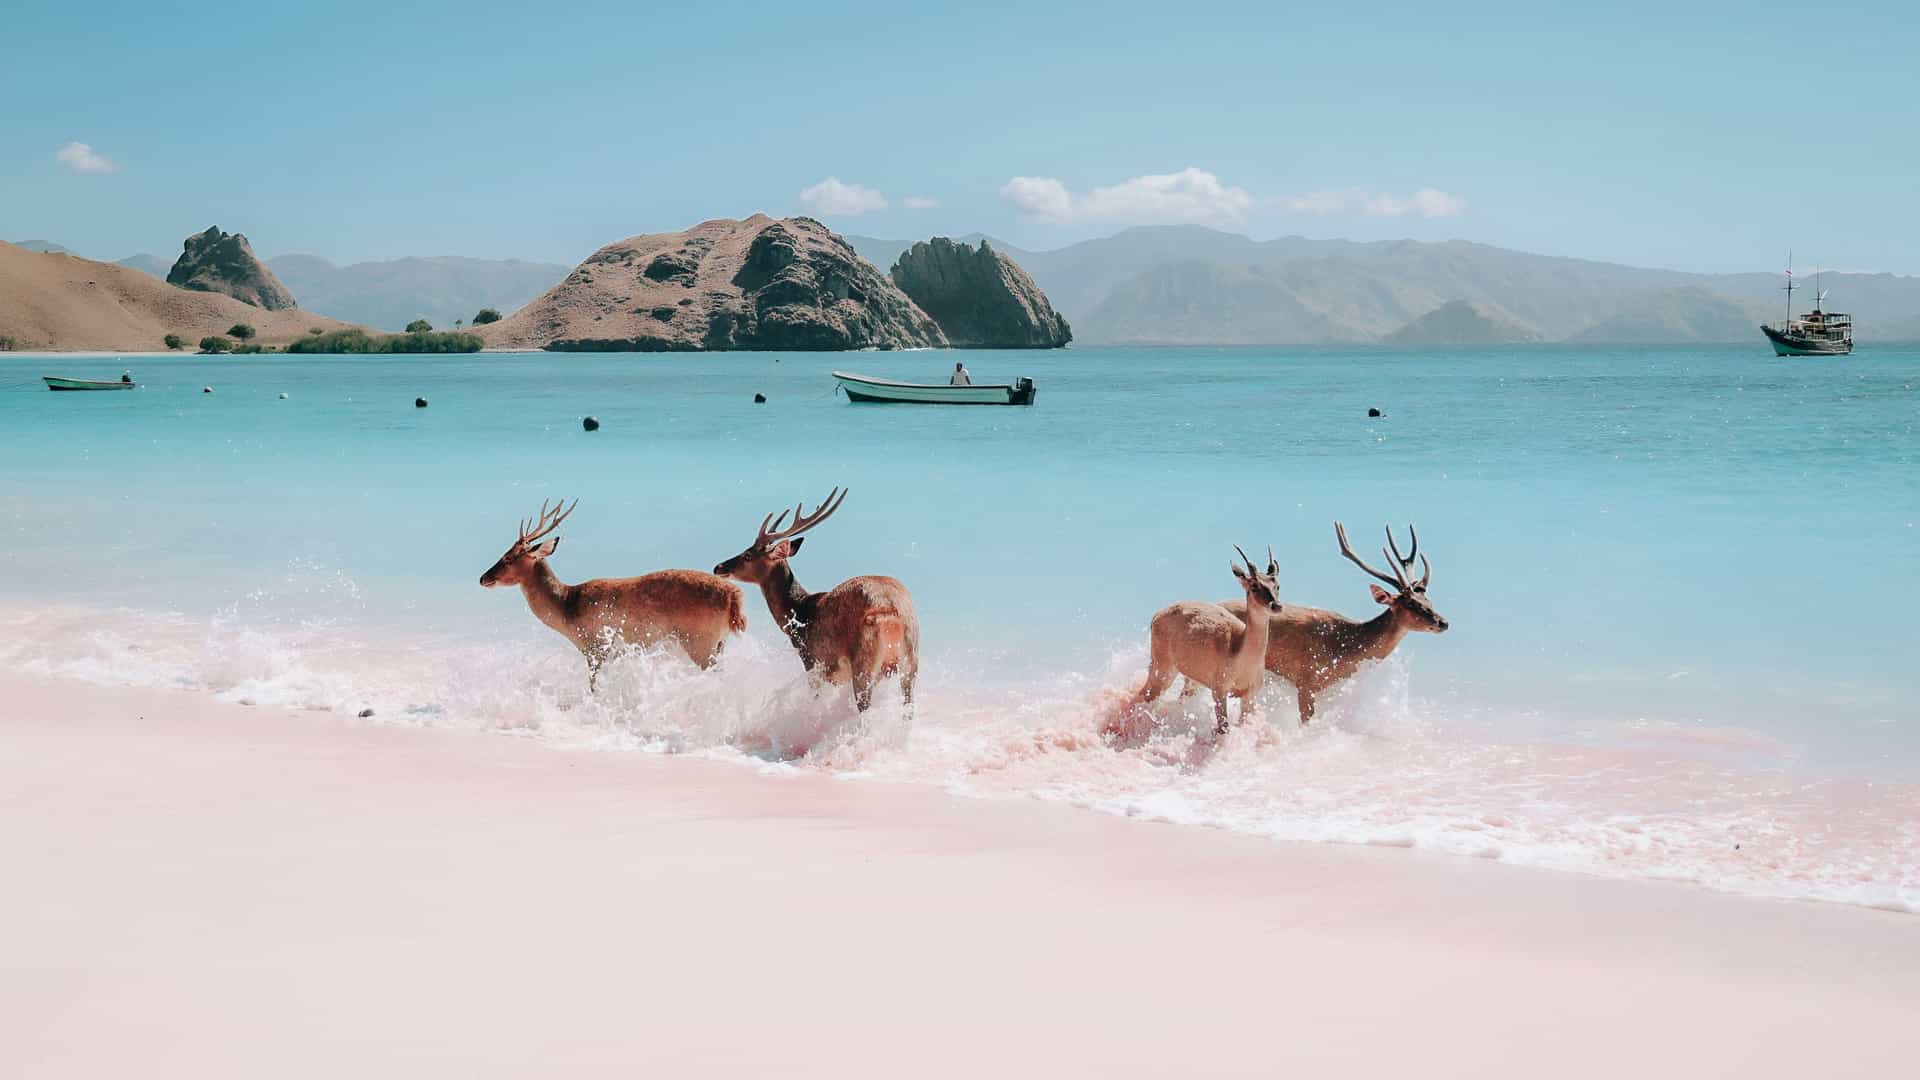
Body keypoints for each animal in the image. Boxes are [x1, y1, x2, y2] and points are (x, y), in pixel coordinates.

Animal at [479, 499, 747, 687]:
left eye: (508, 557)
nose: (483, 578)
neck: (567, 609)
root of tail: (734, 596)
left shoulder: (597, 645)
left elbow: (593, 687)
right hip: (719, 643)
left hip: (700, 641)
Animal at [711, 487, 918, 714]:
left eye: (748, 555)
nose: (718, 567)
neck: (798, 613)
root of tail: (891, 611)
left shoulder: (812, 661)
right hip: (910, 660)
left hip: (863, 663)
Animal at [1107, 546, 1282, 738]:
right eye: (1254, 586)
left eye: (1277, 585)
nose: (1276, 605)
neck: (1240, 654)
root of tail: (1156, 615)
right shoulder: (1219, 690)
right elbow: (1223, 728)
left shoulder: (1250, 696)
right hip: (1162, 669)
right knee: (1143, 696)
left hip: (1191, 680)